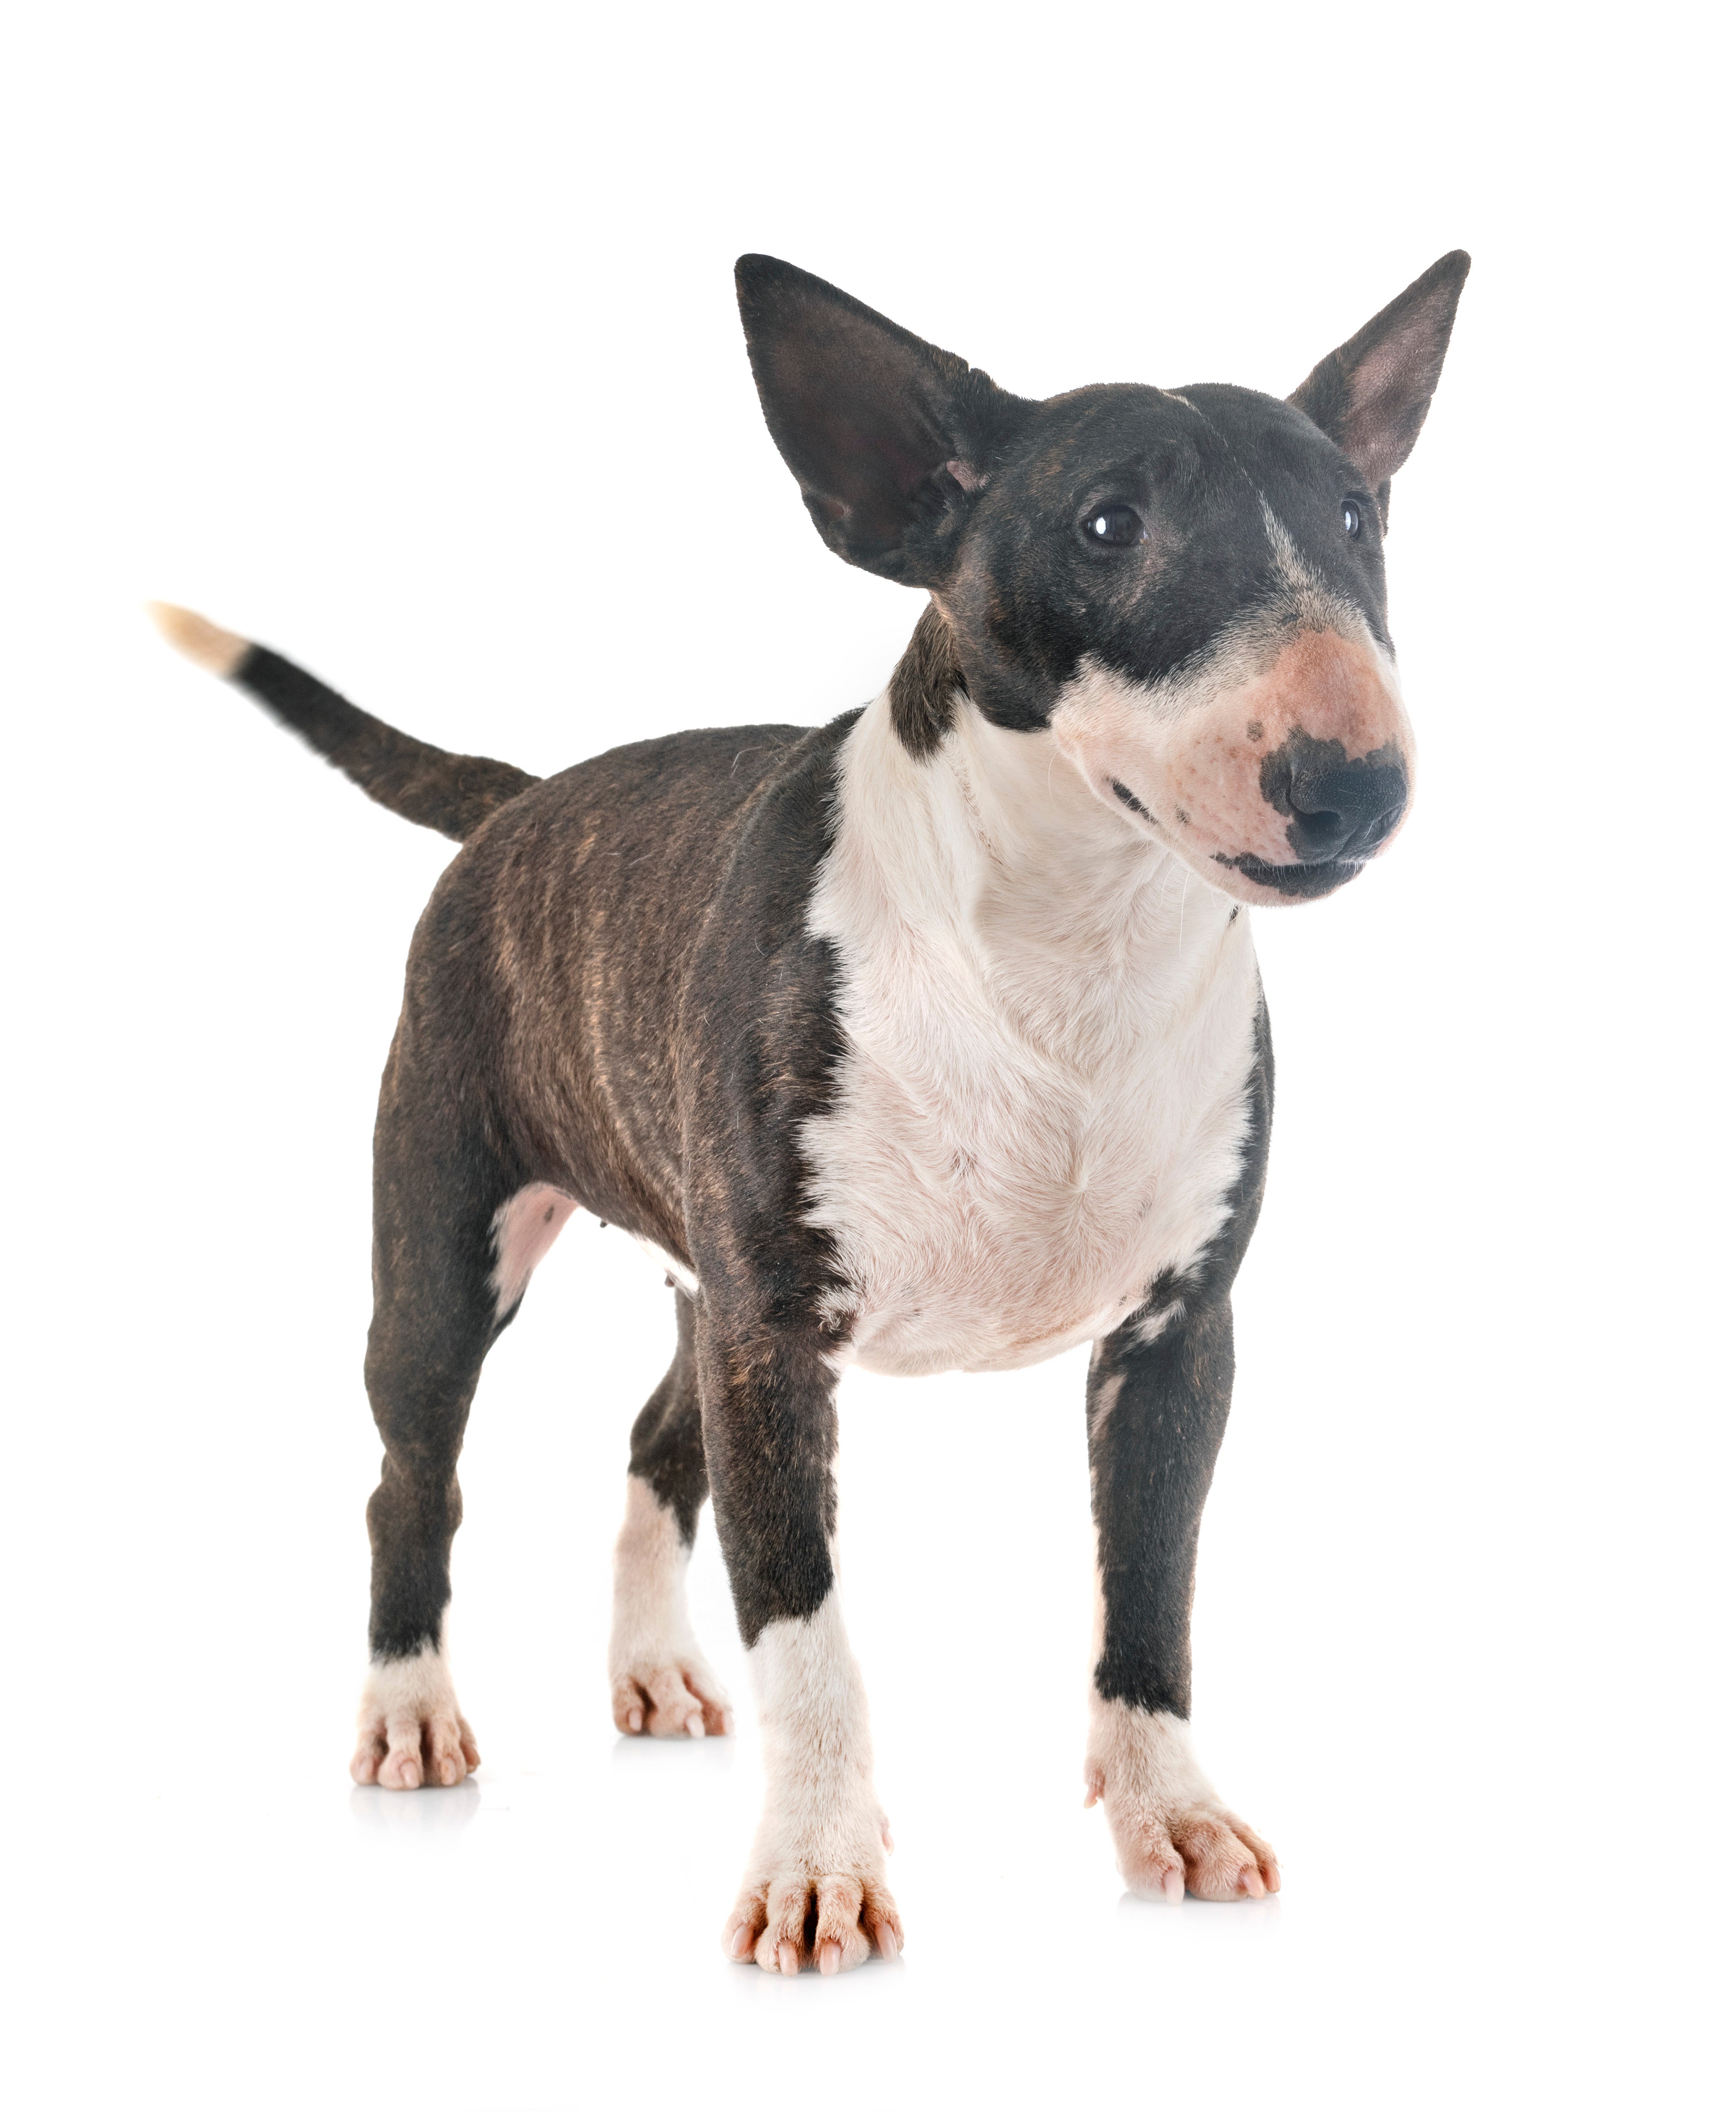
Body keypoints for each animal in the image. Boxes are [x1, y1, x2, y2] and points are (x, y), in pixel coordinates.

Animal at [150, 251, 1470, 1977]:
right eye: (1106, 523)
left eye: (1354, 515)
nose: (1352, 783)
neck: (1065, 948)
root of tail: (518, 799)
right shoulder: (775, 1339)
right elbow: (808, 1629)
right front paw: (817, 1873)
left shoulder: (1178, 1331)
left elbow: (1149, 1589)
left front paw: (1168, 1811)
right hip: (446, 1244)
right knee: (409, 1470)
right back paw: (410, 1708)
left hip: (690, 1267)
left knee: (652, 1438)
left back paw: (648, 1667)